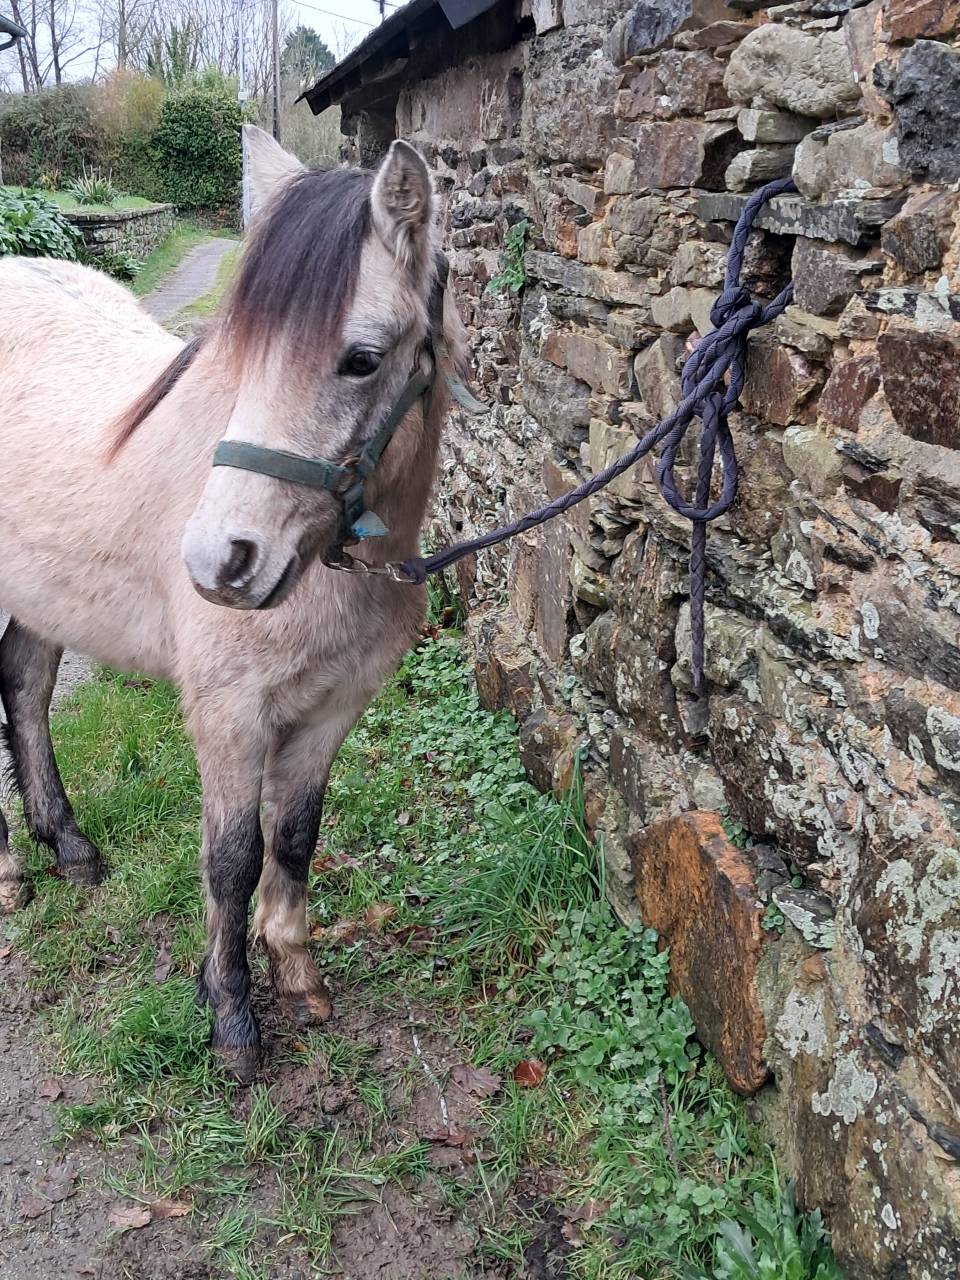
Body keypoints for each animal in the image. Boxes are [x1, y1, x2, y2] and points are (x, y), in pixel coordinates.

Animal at [0, 125, 467, 1081]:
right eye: (239, 359)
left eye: (362, 360)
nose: (220, 561)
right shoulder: (230, 714)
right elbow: (232, 858)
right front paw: (230, 1014)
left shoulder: (331, 710)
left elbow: (293, 838)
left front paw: (297, 972)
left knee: (23, 685)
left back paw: (66, 846)